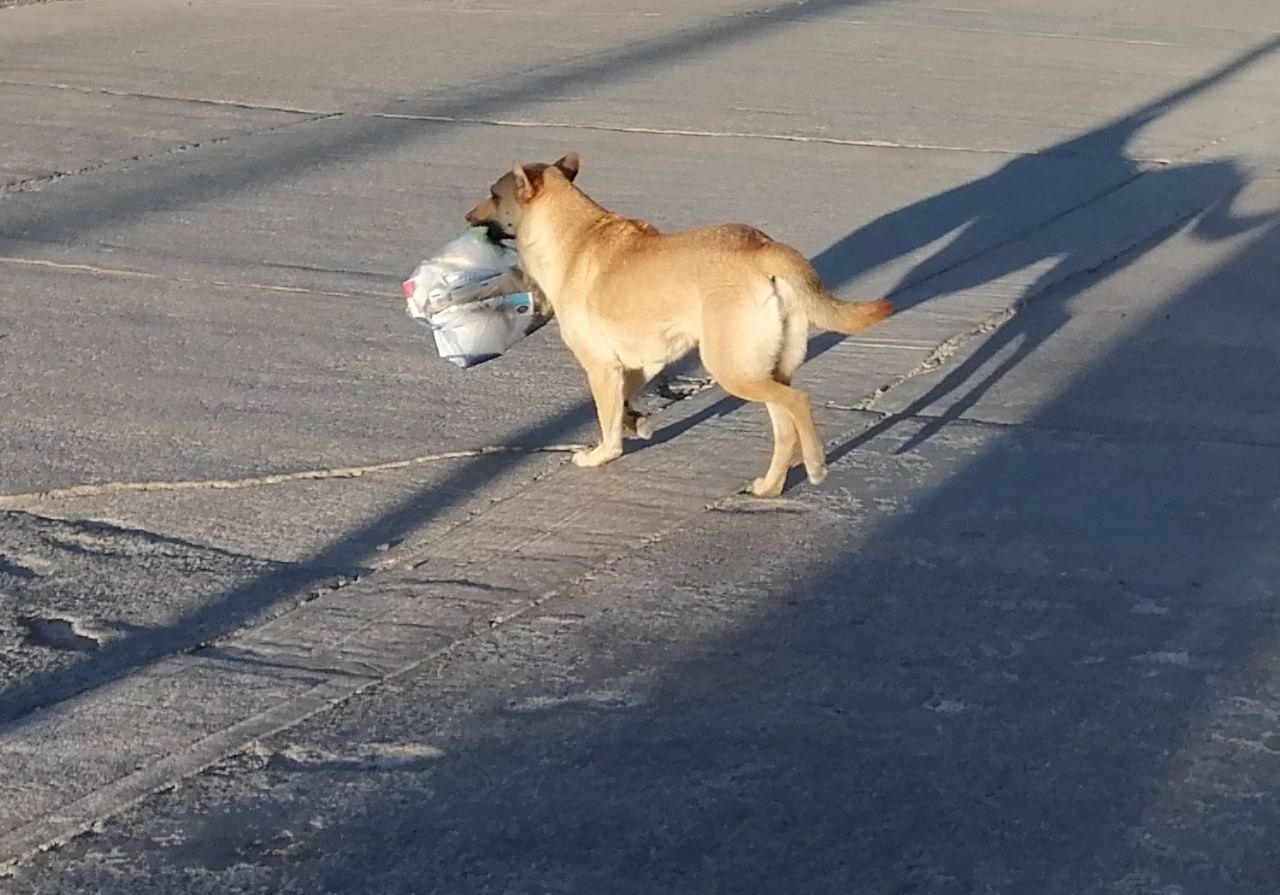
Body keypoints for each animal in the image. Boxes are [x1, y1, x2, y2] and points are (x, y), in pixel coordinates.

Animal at [465, 156, 896, 501]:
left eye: (493, 194)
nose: (467, 218)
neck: (573, 234)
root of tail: (763, 248)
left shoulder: (602, 368)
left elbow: (606, 420)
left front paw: (602, 453)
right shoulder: (643, 363)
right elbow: (621, 405)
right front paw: (636, 422)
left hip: (732, 369)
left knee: (798, 402)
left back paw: (816, 464)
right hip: (766, 368)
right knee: (784, 423)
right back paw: (771, 486)